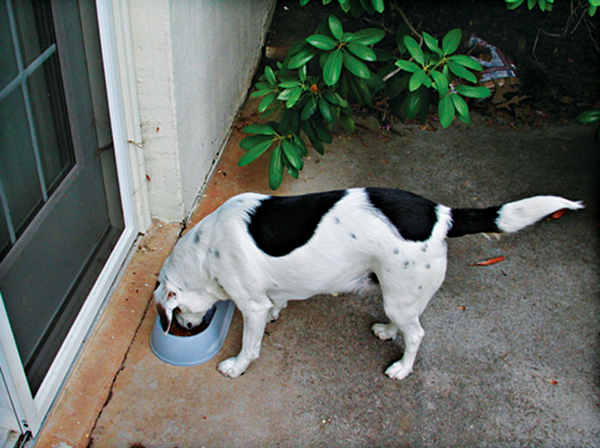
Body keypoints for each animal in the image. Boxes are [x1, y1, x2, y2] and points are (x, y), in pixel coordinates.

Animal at [154, 187, 580, 380]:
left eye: (179, 312)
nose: (186, 327)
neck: (205, 251)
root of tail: (443, 213)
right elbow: (278, 300)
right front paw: (279, 310)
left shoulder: (250, 305)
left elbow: (250, 344)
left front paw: (237, 366)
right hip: (397, 293)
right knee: (406, 323)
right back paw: (386, 330)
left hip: (400, 295)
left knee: (417, 334)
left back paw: (402, 369)